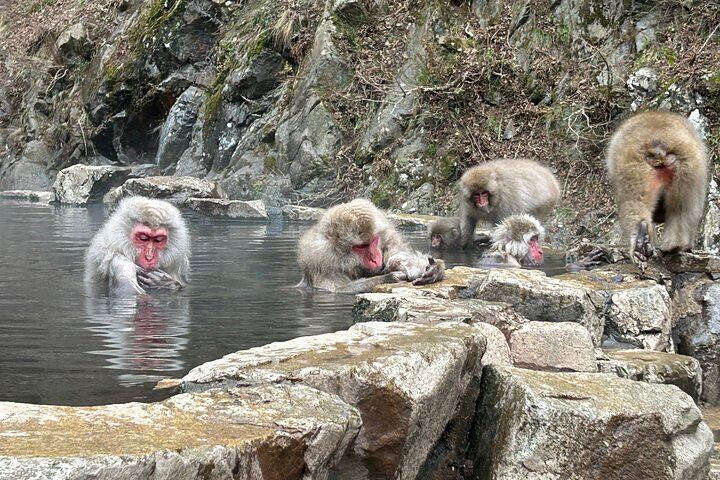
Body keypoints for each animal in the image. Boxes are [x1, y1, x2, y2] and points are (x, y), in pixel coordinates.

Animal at [296, 198, 444, 294]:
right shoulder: (322, 260)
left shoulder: (388, 237)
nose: (375, 259)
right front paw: (389, 278)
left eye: (373, 241)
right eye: (361, 247)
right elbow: (336, 289)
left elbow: (397, 256)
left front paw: (432, 268)